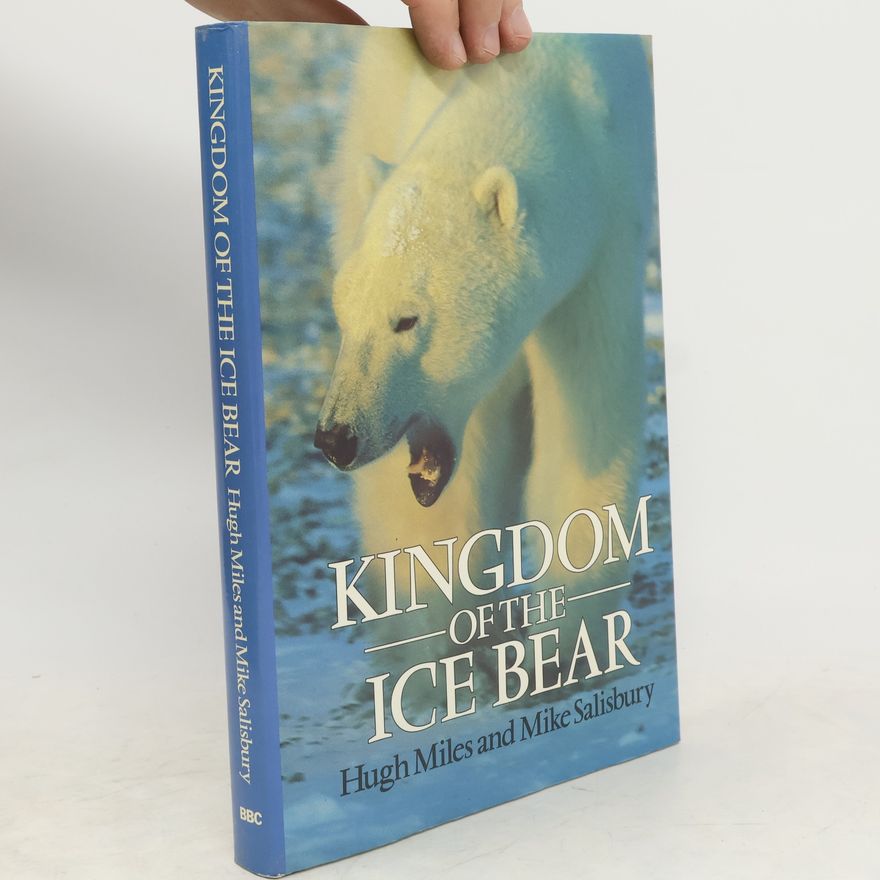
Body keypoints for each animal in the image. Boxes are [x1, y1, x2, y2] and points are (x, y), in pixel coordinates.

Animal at [315, 29, 655, 677]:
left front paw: (562, 645)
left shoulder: (599, 248)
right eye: (344, 313)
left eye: (407, 318)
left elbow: (585, 418)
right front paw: (440, 652)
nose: (336, 436)